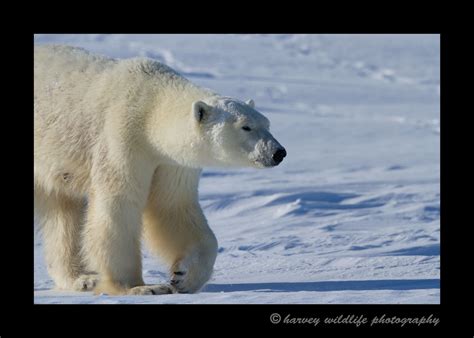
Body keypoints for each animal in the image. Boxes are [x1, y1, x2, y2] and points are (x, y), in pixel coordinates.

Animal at [33, 43, 286, 294]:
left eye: (267, 123)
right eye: (246, 127)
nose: (278, 152)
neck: (151, 105)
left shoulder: (171, 162)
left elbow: (171, 206)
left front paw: (184, 276)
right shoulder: (122, 135)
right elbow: (119, 204)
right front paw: (139, 287)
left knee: (62, 212)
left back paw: (82, 278)